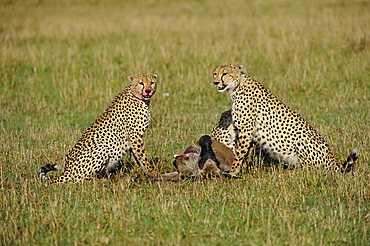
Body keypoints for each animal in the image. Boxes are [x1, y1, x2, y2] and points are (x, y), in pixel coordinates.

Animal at [211, 63, 358, 175]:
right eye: (215, 73)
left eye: (225, 74)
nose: (215, 82)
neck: (237, 88)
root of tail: (333, 160)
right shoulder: (249, 133)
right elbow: (246, 153)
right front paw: (244, 169)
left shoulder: (246, 130)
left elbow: (239, 153)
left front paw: (233, 171)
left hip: (302, 139)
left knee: (311, 171)